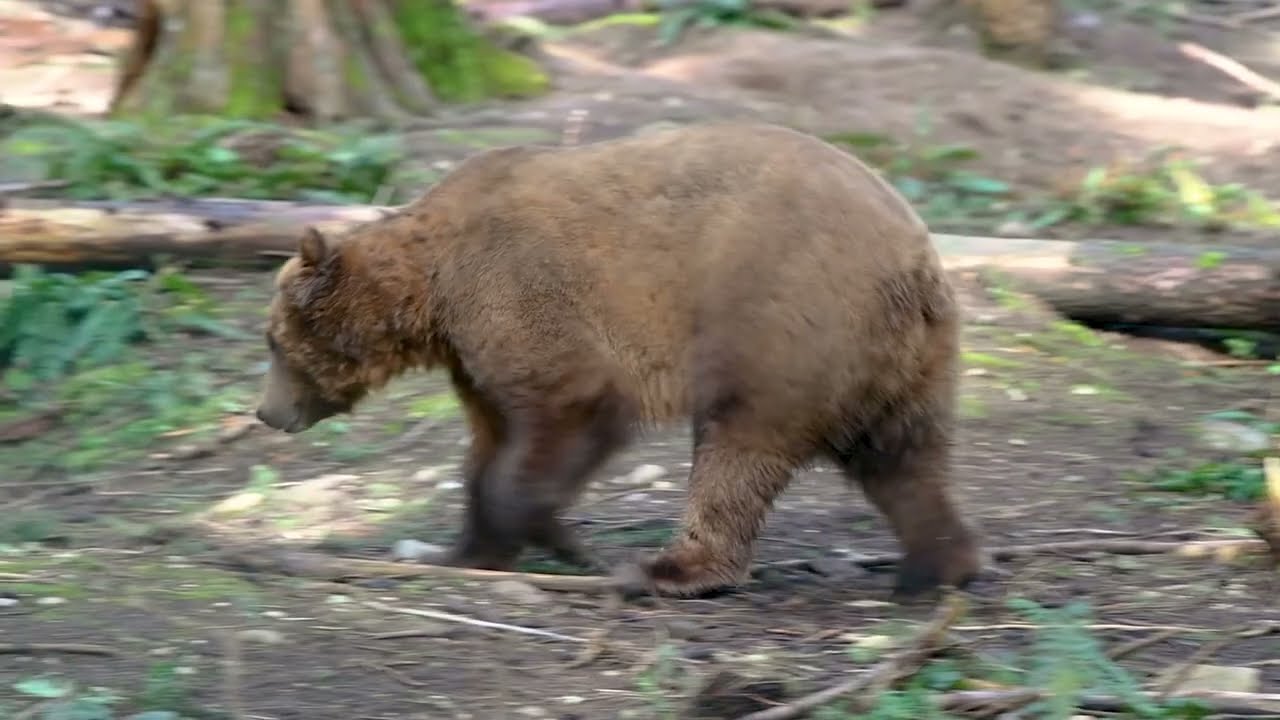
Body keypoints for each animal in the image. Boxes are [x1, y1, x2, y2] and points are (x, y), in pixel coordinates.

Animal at [254, 121, 983, 600]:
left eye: (273, 342)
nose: (266, 412)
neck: (429, 295)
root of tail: (916, 260)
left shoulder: (520, 297)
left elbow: (570, 410)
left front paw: (555, 537)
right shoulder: (473, 355)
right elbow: (489, 444)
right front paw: (467, 548)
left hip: (780, 324)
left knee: (737, 452)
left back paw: (673, 569)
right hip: (896, 360)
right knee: (904, 458)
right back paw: (937, 564)